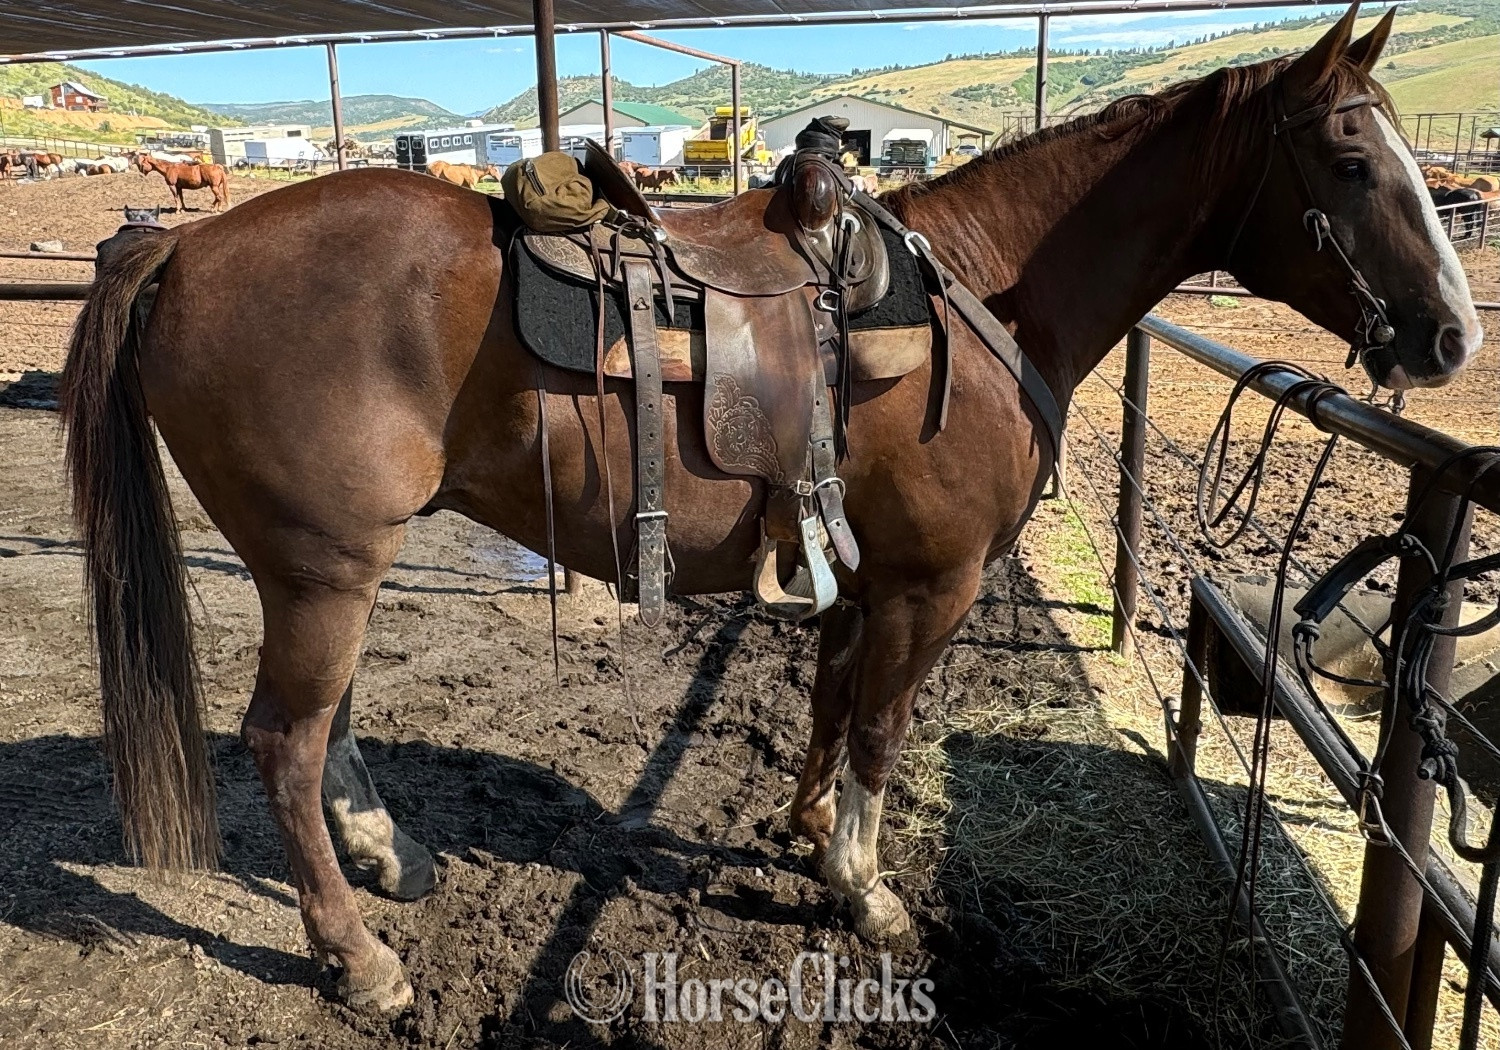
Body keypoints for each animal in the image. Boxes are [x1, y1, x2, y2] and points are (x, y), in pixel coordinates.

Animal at [58, 5, 1480, 1012]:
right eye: (1351, 157)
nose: (1452, 337)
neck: (984, 294)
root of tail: (184, 246)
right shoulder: (935, 583)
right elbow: (885, 728)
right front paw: (863, 890)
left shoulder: (864, 570)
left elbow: (834, 700)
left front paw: (803, 831)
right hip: (323, 571)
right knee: (285, 744)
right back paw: (358, 958)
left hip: (330, 570)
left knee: (328, 729)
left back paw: (387, 857)